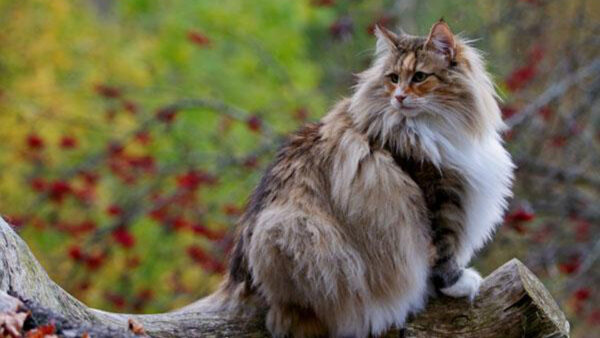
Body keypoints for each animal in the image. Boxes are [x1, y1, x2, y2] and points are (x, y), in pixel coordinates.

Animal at [198, 19, 516, 336]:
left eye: (419, 77)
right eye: (393, 78)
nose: (399, 97)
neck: (432, 127)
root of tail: (238, 283)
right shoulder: (439, 197)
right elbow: (443, 251)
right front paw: (458, 283)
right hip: (291, 228)